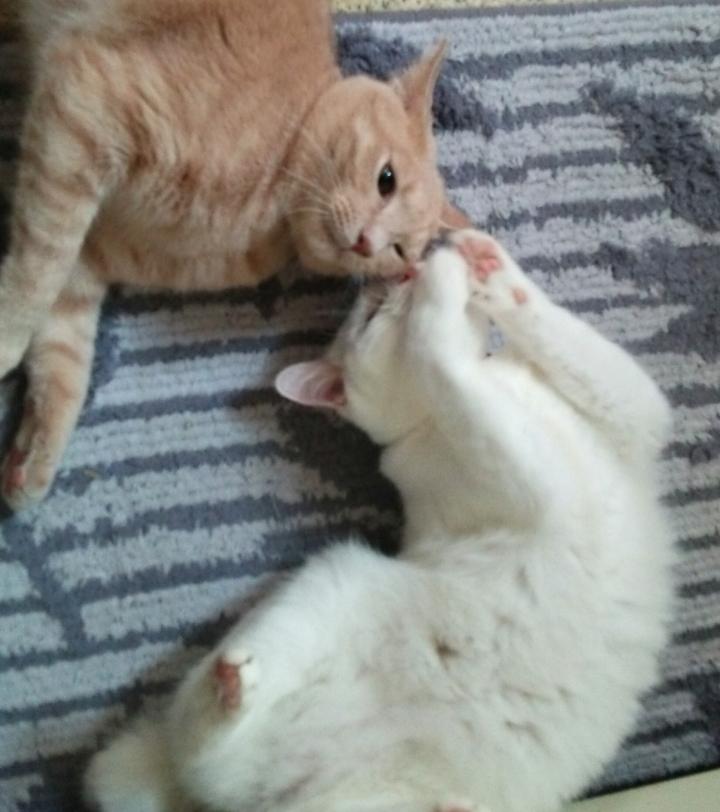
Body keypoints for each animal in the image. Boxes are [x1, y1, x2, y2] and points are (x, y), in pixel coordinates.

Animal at [0, 0, 469, 510]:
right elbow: (35, 273)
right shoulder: (86, 109)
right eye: (386, 180)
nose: (367, 242)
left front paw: (32, 459)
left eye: (399, 250)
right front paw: (4, 344)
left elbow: (64, 351)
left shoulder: (92, 250)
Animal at [85, 230, 674, 812]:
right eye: (370, 315)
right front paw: (443, 280)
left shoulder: (634, 412)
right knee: (191, 746)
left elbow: (557, 333)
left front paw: (486, 263)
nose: (406, 269)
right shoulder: (527, 476)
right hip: (330, 583)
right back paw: (227, 688)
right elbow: (441, 359)